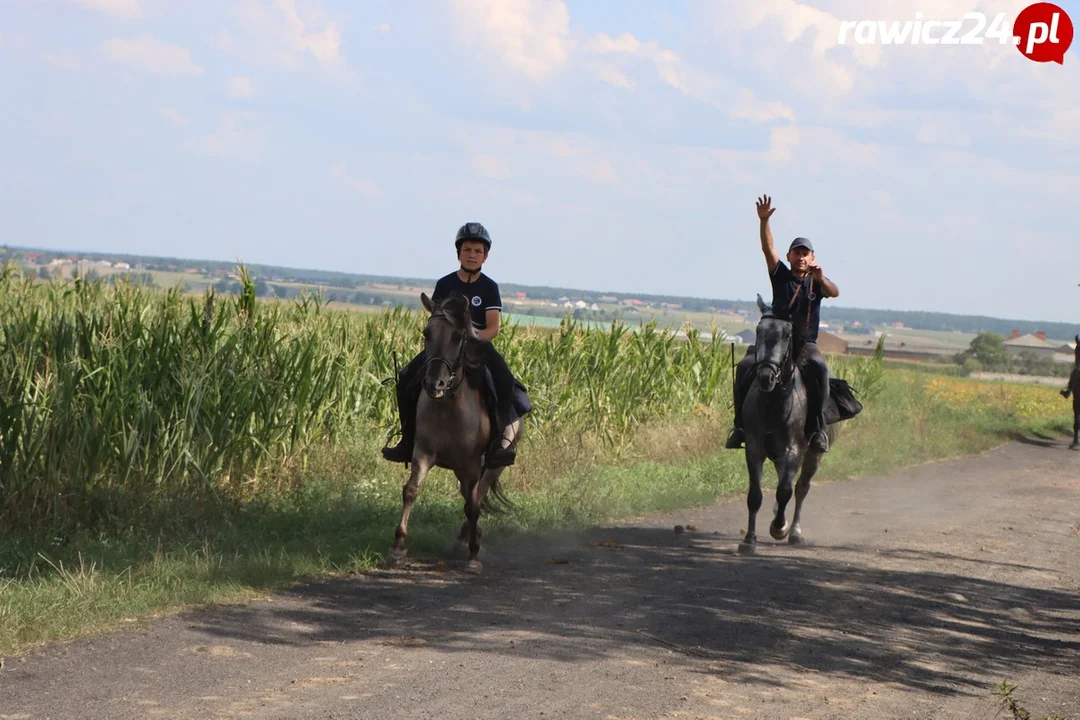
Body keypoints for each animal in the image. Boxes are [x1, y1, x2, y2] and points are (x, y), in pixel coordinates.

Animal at [388, 291, 522, 574]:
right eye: (426, 332)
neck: (448, 406)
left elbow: (472, 505)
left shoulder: (472, 464)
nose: (434, 384)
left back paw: (468, 540)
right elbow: (411, 490)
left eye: (458, 337)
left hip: (493, 465)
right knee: (469, 496)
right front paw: (398, 549)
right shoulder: (423, 453)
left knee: (477, 496)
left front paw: (473, 556)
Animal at [738, 295, 838, 557]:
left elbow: (785, 491)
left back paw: (794, 531)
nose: (765, 376)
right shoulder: (755, 448)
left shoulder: (793, 450)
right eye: (759, 330)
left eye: (787, 334)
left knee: (801, 488)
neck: (774, 401)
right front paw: (749, 540)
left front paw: (778, 528)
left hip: (813, 454)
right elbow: (755, 495)